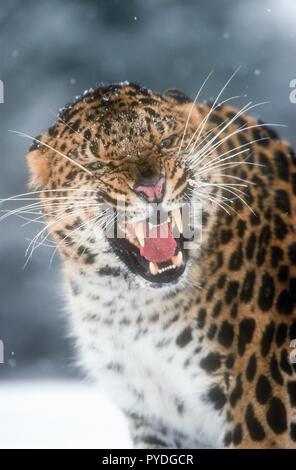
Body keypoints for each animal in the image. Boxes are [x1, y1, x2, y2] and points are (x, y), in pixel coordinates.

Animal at [24, 81, 296, 448]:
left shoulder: (261, 410)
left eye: (166, 142)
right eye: (99, 164)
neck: (134, 311)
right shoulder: (155, 419)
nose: (152, 187)